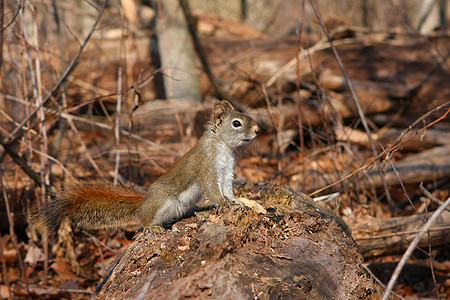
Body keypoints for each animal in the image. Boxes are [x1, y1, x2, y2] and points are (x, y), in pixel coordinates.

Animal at [29, 101, 258, 237]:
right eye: (236, 123)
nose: (257, 130)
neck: (222, 146)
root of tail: (143, 202)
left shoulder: (227, 170)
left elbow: (227, 188)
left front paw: (236, 201)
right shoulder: (205, 166)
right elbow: (211, 187)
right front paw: (222, 203)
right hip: (163, 201)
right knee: (142, 220)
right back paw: (151, 226)